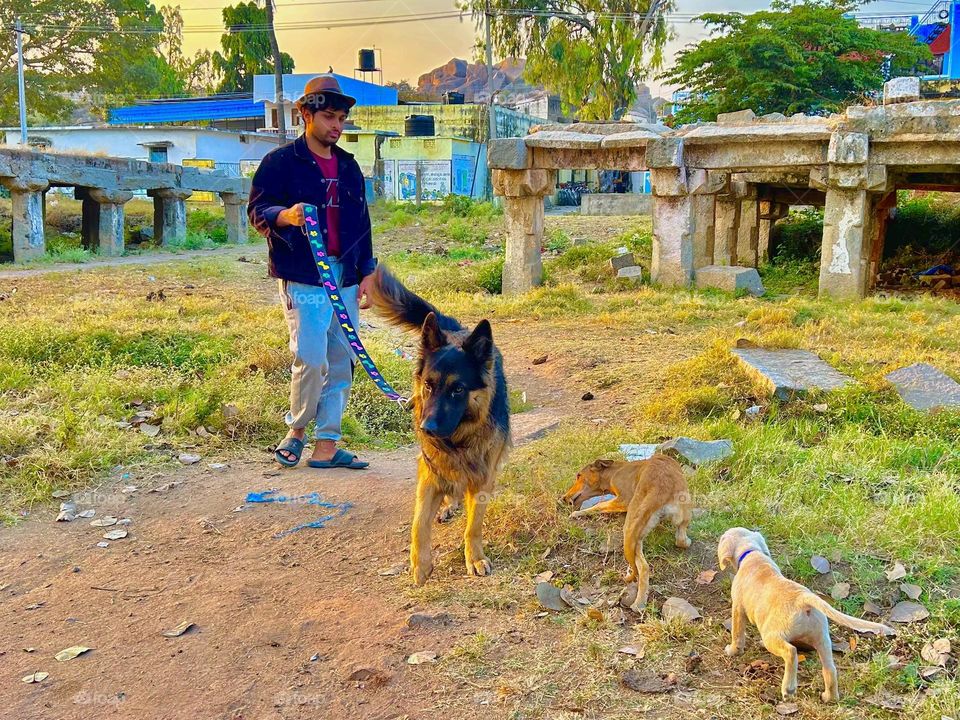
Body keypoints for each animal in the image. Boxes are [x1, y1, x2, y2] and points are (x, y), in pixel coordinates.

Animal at [368, 268, 510, 588]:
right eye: (429, 385)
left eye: (458, 389)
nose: (427, 428)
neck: (459, 438)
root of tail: (456, 330)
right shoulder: (429, 470)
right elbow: (419, 522)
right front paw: (420, 565)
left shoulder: (481, 475)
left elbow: (473, 525)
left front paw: (474, 557)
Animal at [564, 456, 688, 612]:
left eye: (579, 475)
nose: (563, 498)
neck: (614, 471)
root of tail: (660, 488)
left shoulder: (623, 500)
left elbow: (598, 505)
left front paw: (577, 513)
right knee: (680, 540)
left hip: (631, 526)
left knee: (644, 566)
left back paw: (638, 603)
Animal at [716, 524, 896, 700]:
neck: (752, 554)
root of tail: (803, 599)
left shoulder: (738, 608)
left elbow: (737, 634)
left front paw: (732, 650)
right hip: (822, 639)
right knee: (830, 669)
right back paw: (829, 697)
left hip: (772, 635)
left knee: (791, 652)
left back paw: (788, 689)